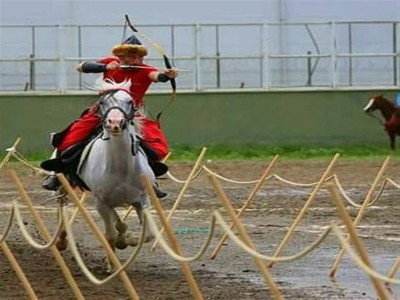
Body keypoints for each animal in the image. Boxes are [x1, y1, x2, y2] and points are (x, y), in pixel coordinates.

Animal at [78, 78, 155, 274]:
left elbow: (148, 234)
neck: (121, 168)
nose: (115, 123)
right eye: (102, 102)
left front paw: (128, 240)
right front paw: (112, 265)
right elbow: (110, 235)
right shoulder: (101, 203)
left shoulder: (142, 199)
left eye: (129, 101)